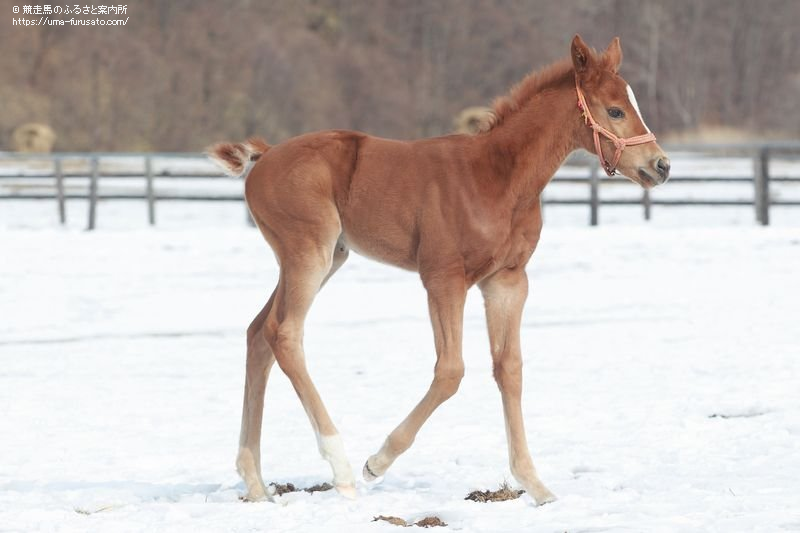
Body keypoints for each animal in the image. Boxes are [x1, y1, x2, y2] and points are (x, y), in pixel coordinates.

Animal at [208, 35, 668, 504]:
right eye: (615, 110)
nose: (661, 166)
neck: (497, 179)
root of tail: (263, 158)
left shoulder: (507, 281)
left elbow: (509, 369)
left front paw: (537, 486)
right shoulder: (444, 278)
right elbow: (451, 371)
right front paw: (377, 463)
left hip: (327, 257)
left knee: (258, 333)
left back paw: (255, 483)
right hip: (308, 253)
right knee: (284, 333)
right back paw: (342, 469)